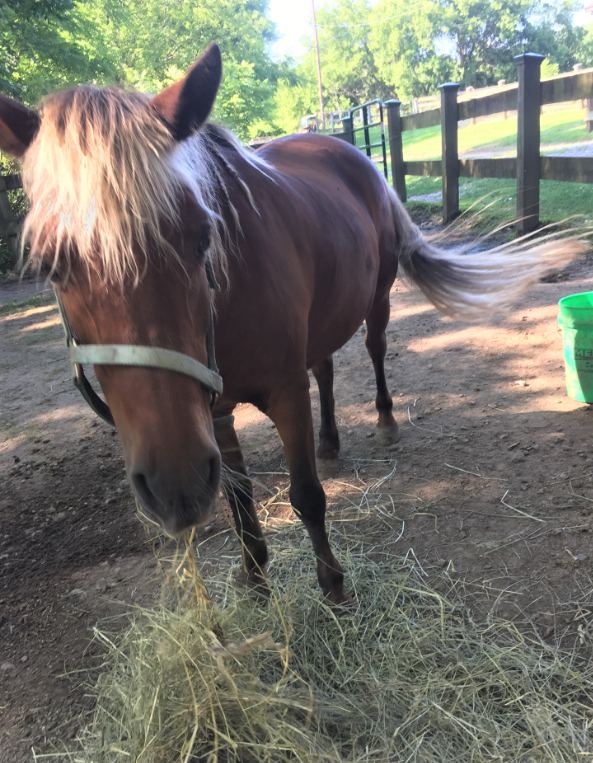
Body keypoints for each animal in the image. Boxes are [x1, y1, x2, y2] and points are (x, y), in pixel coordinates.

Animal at [0, 46, 584, 608]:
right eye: (50, 265)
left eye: (201, 235)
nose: (174, 486)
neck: (225, 304)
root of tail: (350, 152)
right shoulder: (215, 413)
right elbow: (239, 501)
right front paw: (255, 577)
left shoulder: (282, 394)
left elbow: (306, 495)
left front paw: (334, 586)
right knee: (324, 369)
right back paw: (329, 441)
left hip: (377, 300)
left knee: (374, 349)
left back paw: (385, 421)